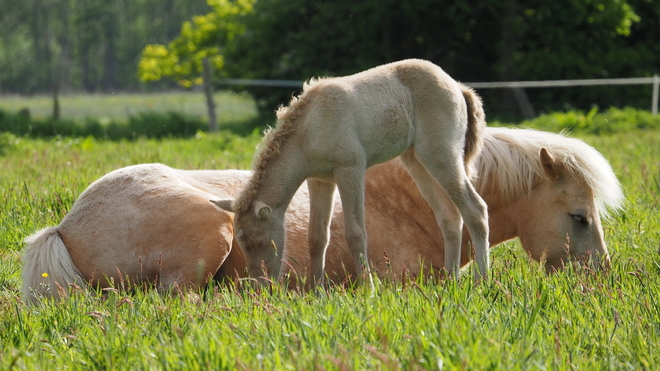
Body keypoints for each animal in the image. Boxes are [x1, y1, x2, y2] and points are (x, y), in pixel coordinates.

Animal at [215, 58, 490, 286]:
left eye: (262, 241)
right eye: (241, 244)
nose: (260, 287)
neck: (309, 129)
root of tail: (458, 87)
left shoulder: (350, 169)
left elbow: (356, 233)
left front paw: (369, 289)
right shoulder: (319, 180)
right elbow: (317, 237)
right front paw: (317, 292)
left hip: (441, 154)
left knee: (475, 209)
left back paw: (481, 280)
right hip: (416, 160)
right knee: (449, 216)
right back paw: (450, 281)